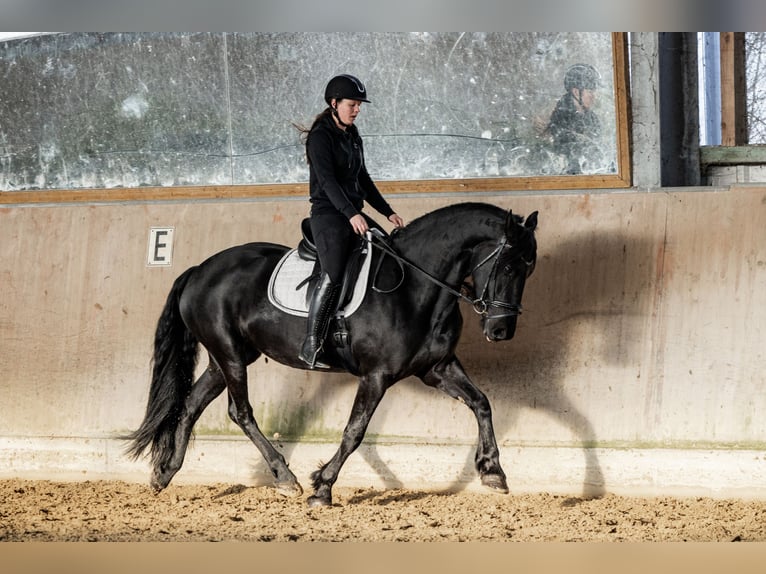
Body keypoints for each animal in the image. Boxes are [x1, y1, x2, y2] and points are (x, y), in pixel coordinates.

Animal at [124, 202, 540, 508]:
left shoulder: (436, 368)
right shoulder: (377, 376)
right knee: (239, 412)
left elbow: (482, 403)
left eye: (529, 268)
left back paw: (164, 473)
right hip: (229, 355)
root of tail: (199, 270)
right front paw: (322, 487)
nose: (501, 331)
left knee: (191, 405)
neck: (416, 287)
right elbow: (354, 431)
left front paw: (493, 472)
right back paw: (285, 478)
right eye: (506, 265)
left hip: (224, 357)